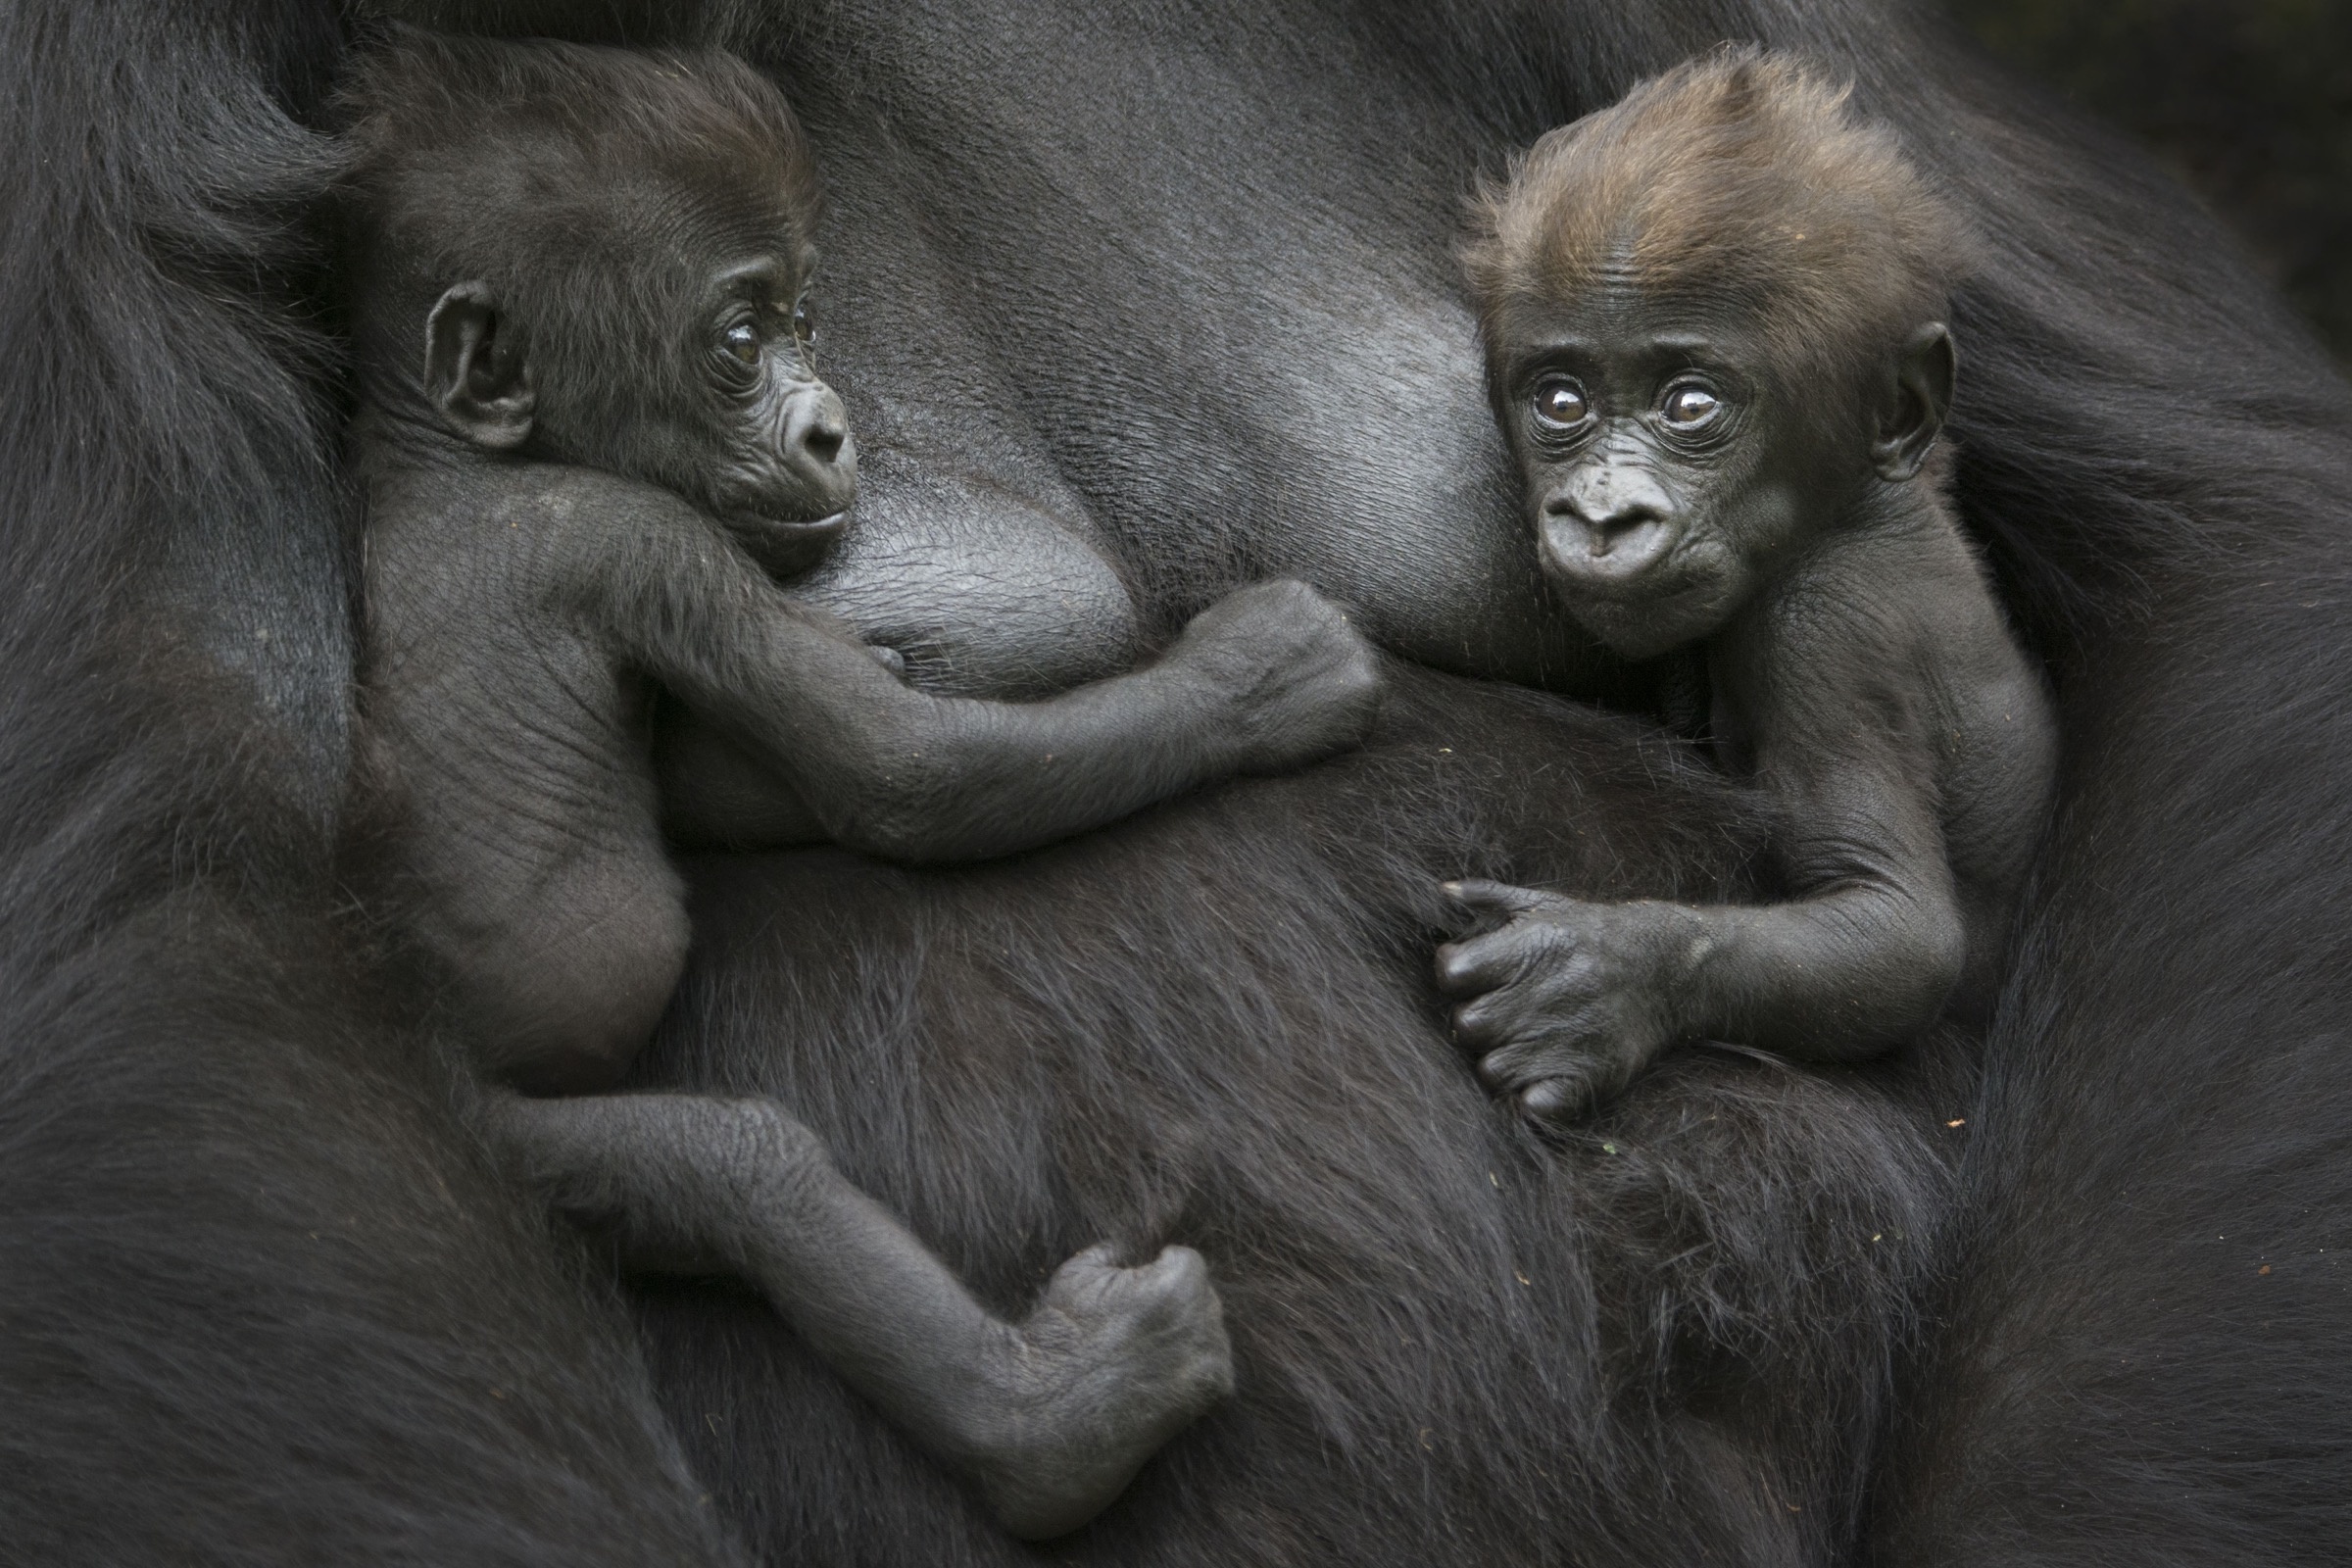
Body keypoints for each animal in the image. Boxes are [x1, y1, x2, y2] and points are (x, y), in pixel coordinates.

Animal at [341, 27, 1383, 1542]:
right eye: (738, 345)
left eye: (808, 321)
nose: (833, 429)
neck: (437, 454)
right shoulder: (641, 539)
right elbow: (903, 774)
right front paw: (1258, 681)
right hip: (485, 1136)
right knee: (738, 1173)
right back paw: (1057, 1416)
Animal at [1430, 52, 2060, 1128]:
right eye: (1561, 401)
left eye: (1690, 406)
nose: (1602, 516)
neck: (1858, 507)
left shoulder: (1821, 637)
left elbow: (1897, 929)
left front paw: (1612, 976)